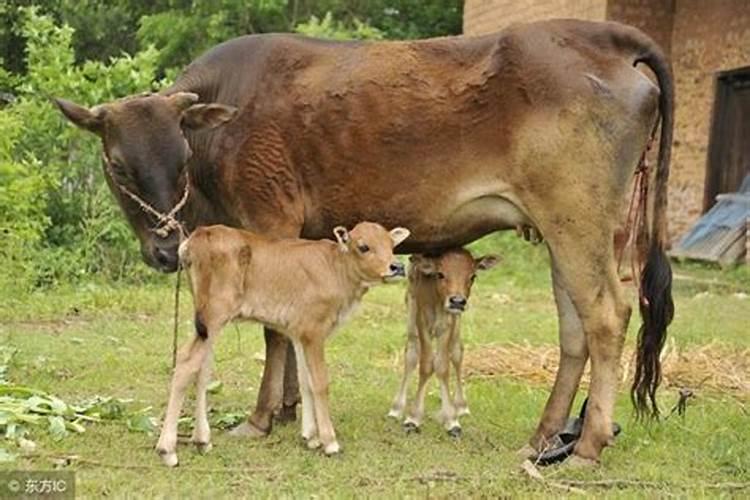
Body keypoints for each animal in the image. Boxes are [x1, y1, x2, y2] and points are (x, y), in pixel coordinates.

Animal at [155, 222, 408, 464]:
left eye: (391, 245)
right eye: (364, 246)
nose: (396, 267)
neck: (336, 269)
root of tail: (199, 236)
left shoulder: (298, 333)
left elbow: (305, 381)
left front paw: (310, 437)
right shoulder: (314, 331)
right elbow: (320, 383)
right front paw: (329, 442)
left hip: (208, 322)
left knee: (202, 369)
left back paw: (202, 440)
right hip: (215, 314)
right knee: (187, 361)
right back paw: (167, 450)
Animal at [388, 248, 500, 436]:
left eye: (473, 276)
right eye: (440, 274)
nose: (457, 301)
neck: (437, 301)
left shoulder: (449, 324)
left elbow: (442, 366)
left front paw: (452, 419)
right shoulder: (421, 322)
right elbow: (426, 365)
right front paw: (413, 418)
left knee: (456, 352)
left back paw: (460, 405)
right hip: (411, 309)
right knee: (411, 353)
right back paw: (396, 408)